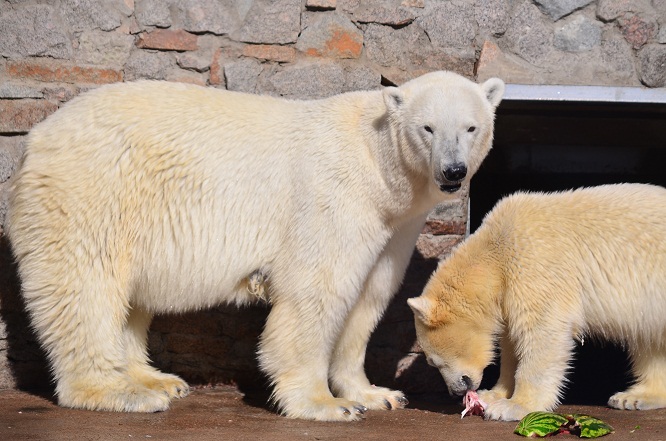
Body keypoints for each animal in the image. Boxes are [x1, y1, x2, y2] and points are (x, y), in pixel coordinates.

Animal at [6, 71, 504, 420]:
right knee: (85, 286)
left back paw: (156, 380)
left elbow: (368, 298)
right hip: (93, 190)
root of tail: (36, 137)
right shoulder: (333, 198)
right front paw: (326, 404)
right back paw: (118, 392)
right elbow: (316, 292)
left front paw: (376, 394)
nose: (453, 171)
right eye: (427, 128)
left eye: (471, 127)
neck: (378, 164)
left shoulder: (393, 225)